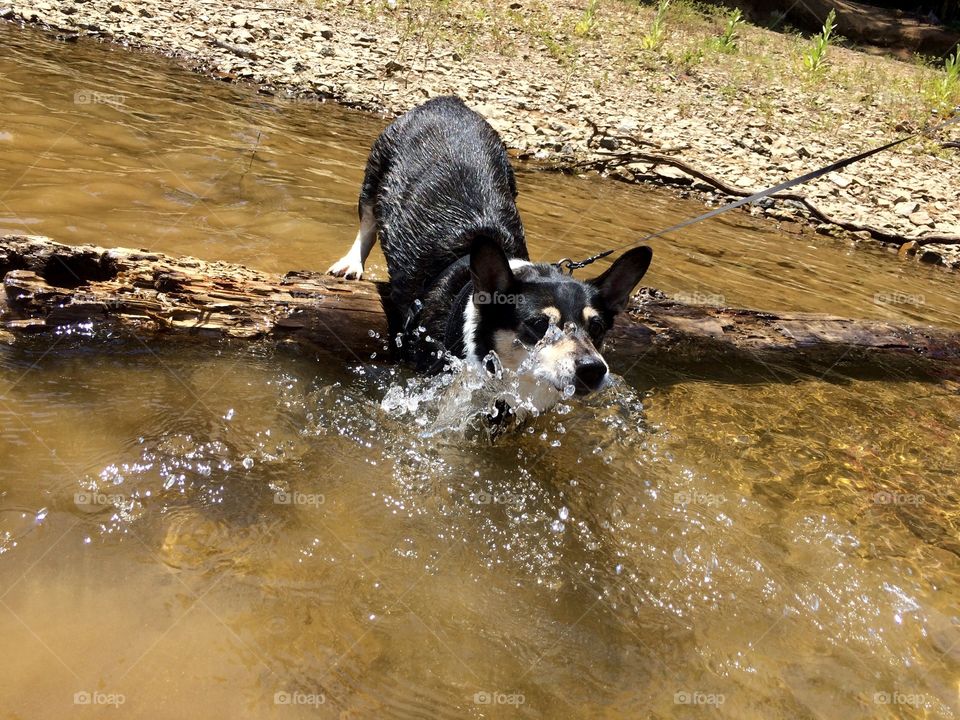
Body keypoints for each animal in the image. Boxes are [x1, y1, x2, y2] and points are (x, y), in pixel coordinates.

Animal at [330, 97, 652, 404]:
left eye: (596, 328)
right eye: (538, 325)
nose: (593, 369)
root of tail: (448, 102)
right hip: (376, 169)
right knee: (368, 221)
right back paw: (351, 263)